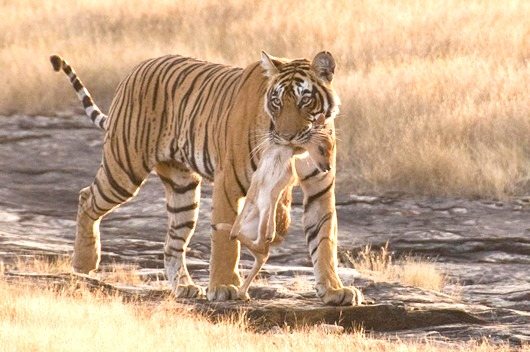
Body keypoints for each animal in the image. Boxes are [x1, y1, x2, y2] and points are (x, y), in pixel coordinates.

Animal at [49, 50, 364, 306]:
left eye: (304, 100)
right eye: (276, 102)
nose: (287, 137)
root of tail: (136, 67)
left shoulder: (320, 188)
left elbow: (324, 240)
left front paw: (334, 291)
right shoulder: (229, 183)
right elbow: (225, 239)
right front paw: (224, 287)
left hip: (183, 189)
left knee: (172, 243)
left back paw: (185, 287)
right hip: (124, 167)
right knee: (87, 197)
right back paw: (84, 262)